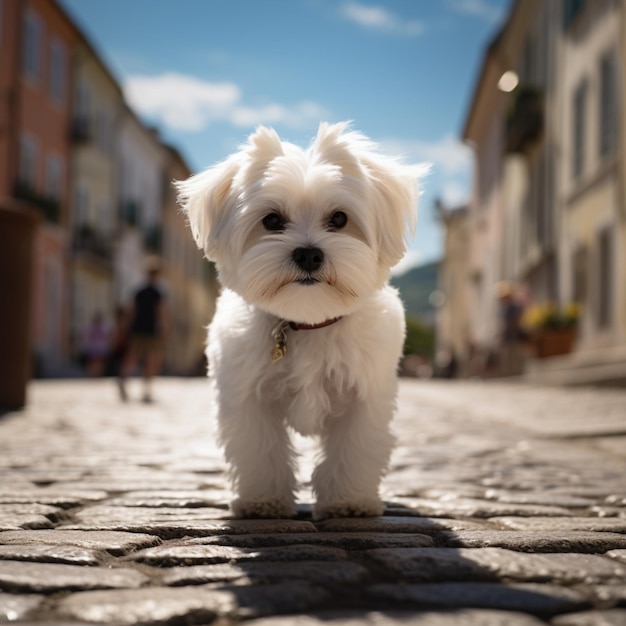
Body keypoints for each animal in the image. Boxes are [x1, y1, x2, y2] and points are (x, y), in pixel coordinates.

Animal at [176, 120, 420, 516]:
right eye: (272, 220)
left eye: (339, 219)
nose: (308, 254)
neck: (308, 321)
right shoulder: (248, 397)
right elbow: (260, 450)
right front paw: (263, 500)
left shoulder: (364, 396)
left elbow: (353, 449)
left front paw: (348, 501)